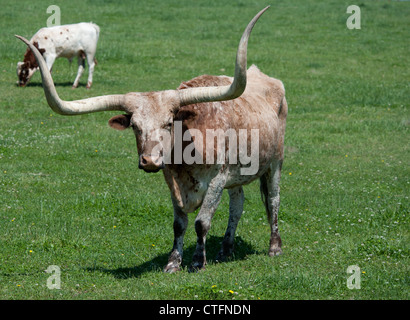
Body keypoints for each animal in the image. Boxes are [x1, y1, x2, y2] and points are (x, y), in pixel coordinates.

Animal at [16, 6, 288, 272]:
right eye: (135, 127)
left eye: (169, 123)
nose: (149, 161)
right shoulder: (173, 182)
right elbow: (179, 224)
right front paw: (173, 263)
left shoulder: (216, 181)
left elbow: (201, 222)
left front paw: (197, 262)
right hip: (237, 174)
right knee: (237, 204)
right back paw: (226, 249)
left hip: (275, 162)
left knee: (273, 200)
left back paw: (274, 247)